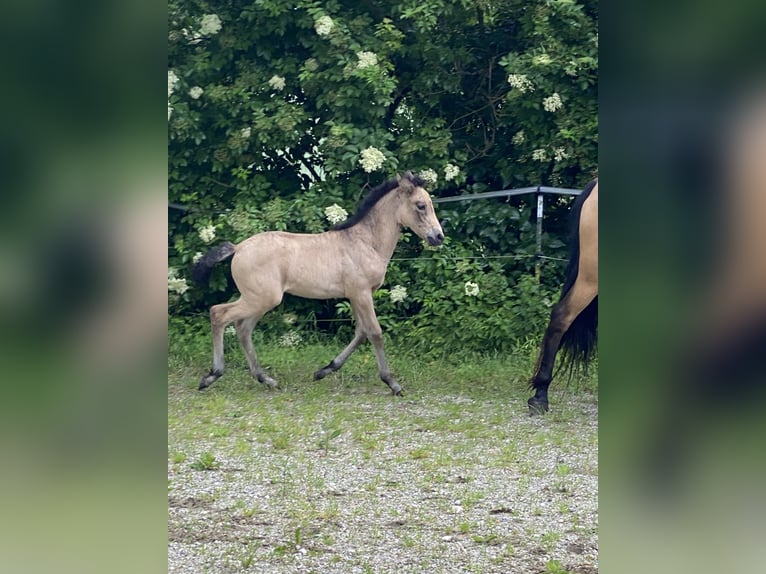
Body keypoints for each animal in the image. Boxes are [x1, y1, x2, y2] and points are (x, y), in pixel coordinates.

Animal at [190, 171, 444, 396]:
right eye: (421, 205)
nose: (438, 237)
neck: (365, 242)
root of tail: (238, 247)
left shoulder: (356, 295)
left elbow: (361, 332)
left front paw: (324, 370)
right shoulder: (361, 293)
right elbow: (374, 332)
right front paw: (392, 383)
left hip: (260, 301)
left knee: (243, 328)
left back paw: (266, 379)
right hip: (260, 298)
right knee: (219, 314)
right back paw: (211, 376)